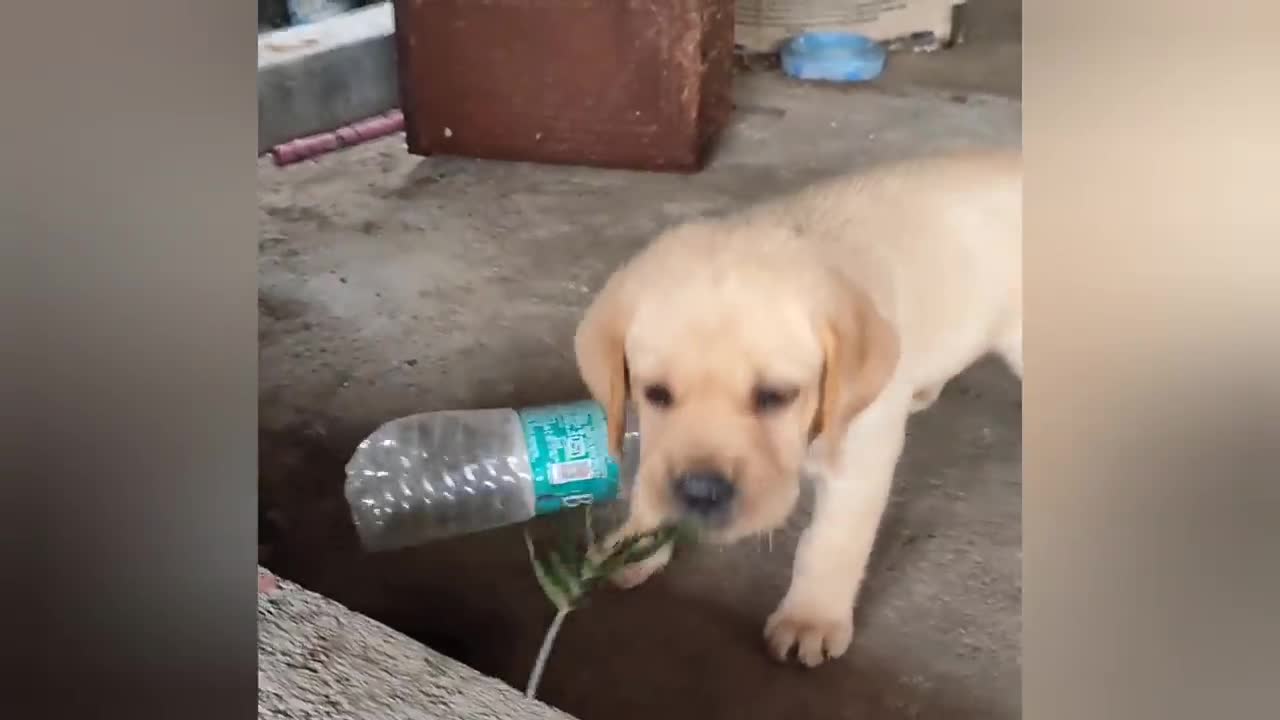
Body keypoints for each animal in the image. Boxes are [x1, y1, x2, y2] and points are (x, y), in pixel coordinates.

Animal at [576, 148, 1024, 666]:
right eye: (656, 394)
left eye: (775, 396)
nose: (702, 493)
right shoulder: (660, 449)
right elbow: (650, 483)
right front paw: (634, 545)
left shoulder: (859, 459)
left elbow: (829, 543)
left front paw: (811, 619)